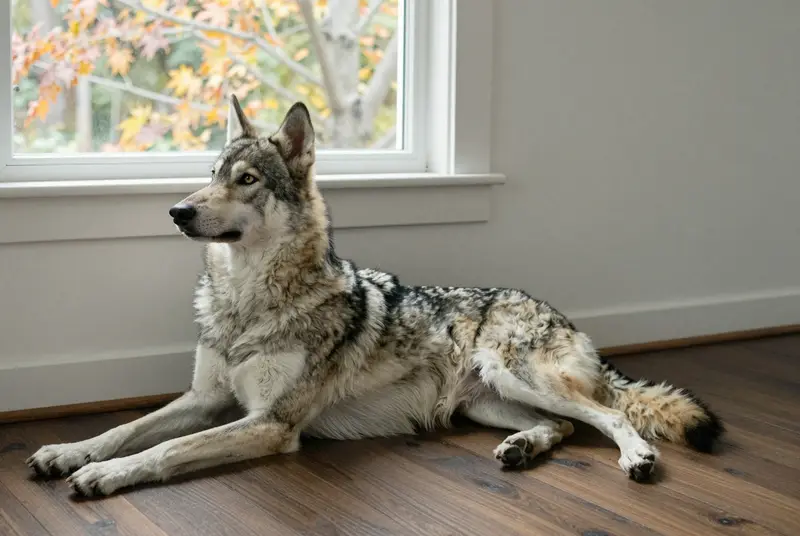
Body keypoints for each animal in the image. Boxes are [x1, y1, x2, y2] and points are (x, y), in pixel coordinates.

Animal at [27, 97, 723, 496]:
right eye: (211, 175)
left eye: (247, 180)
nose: (176, 211)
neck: (245, 301)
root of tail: (559, 314)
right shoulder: (205, 399)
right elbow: (125, 427)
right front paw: (68, 452)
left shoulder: (269, 423)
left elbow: (164, 448)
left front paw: (102, 475)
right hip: (486, 404)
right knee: (564, 426)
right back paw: (522, 450)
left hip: (516, 375)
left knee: (609, 416)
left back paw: (637, 458)